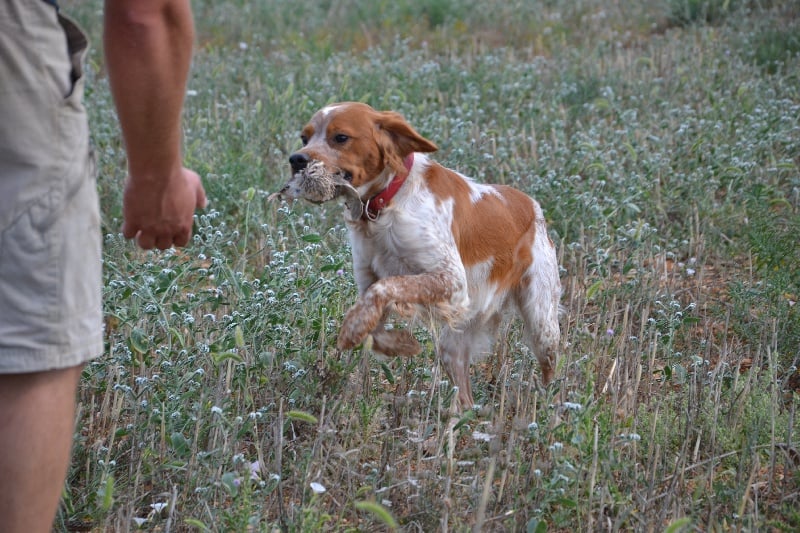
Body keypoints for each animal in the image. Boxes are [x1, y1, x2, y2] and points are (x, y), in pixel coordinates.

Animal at [290, 101, 564, 408]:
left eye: (340, 137)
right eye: (304, 137)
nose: (296, 159)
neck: (387, 202)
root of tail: (532, 205)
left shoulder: (451, 280)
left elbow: (387, 286)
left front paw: (351, 330)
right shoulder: (369, 281)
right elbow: (374, 321)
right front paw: (396, 343)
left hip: (542, 324)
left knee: (549, 371)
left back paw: (547, 408)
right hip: (453, 343)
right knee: (465, 397)